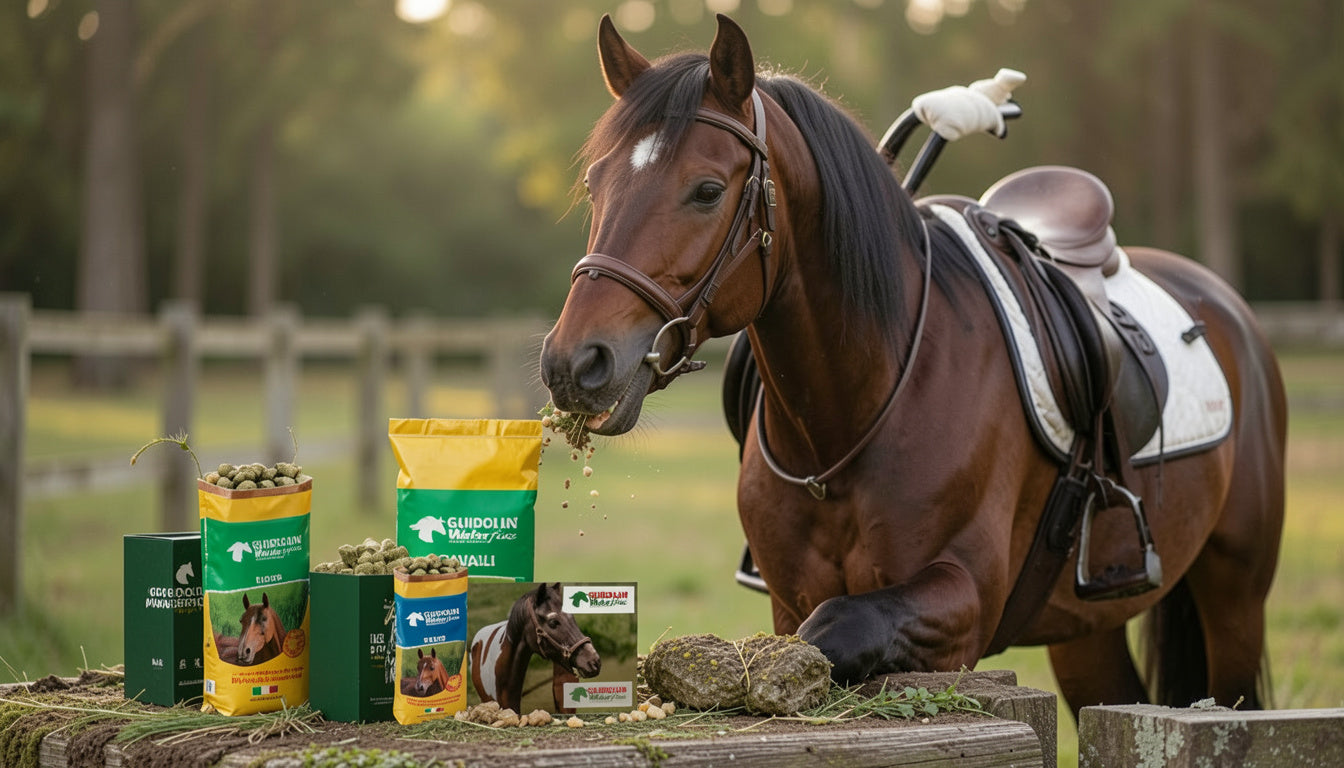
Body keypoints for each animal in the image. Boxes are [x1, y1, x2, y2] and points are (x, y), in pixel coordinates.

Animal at [538, 14, 1286, 720]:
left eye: (706, 190)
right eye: (596, 185)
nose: (576, 361)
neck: (849, 422)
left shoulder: (962, 601)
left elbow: (833, 629)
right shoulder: (788, 594)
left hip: (1235, 595)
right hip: (1087, 631)